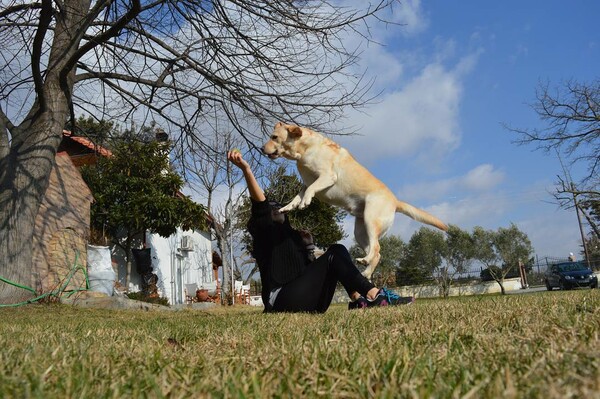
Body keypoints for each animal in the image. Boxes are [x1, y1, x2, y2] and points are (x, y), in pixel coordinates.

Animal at [260, 122, 448, 278]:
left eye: (274, 137)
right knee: (377, 252)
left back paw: (365, 262)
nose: (262, 148)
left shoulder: (327, 176)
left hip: (371, 220)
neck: (305, 150)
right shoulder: (305, 184)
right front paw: (286, 208)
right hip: (360, 231)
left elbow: (311, 190)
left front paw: (305, 202)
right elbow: (296, 197)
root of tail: (395, 201)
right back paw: (366, 271)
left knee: (377, 248)